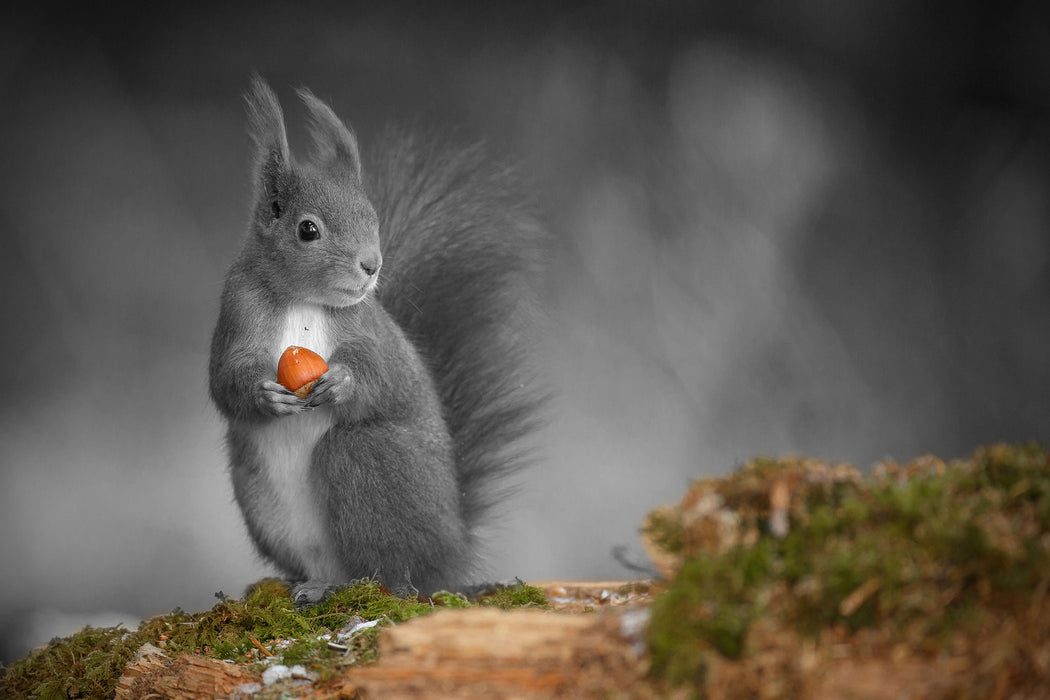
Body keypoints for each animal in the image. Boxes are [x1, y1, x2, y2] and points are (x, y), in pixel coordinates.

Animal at [208, 75, 546, 604]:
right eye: (308, 229)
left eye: (372, 217)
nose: (371, 265)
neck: (302, 300)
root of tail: (452, 553)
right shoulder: (237, 311)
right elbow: (225, 380)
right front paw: (264, 395)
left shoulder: (369, 330)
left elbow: (382, 376)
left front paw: (344, 382)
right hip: (259, 496)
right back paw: (304, 584)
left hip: (368, 459)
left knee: (391, 566)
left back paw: (375, 585)